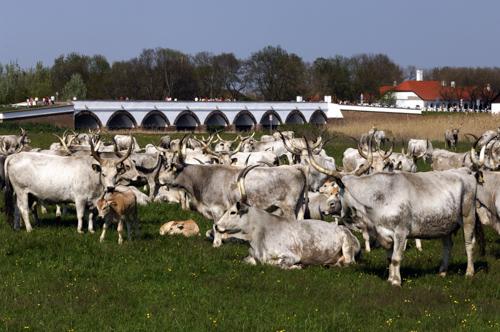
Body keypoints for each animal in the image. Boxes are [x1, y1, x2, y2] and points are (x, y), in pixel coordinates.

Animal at [214, 202, 360, 270]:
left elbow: (280, 264)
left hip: (347, 247)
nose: (216, 225)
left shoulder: (291, 255)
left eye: (233, 212)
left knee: (349, 262)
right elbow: (247, 261)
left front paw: (298, 266)